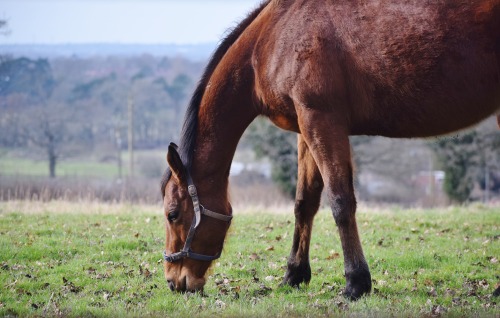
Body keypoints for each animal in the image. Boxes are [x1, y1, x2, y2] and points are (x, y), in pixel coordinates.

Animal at [160, 0, 500, 300]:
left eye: (172, 214)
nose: (174, 282)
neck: (272, 38)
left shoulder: (321, 121)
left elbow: (340, 201)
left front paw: (356, 282)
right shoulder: (306, 128)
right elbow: (304, 203)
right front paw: (294, 275)